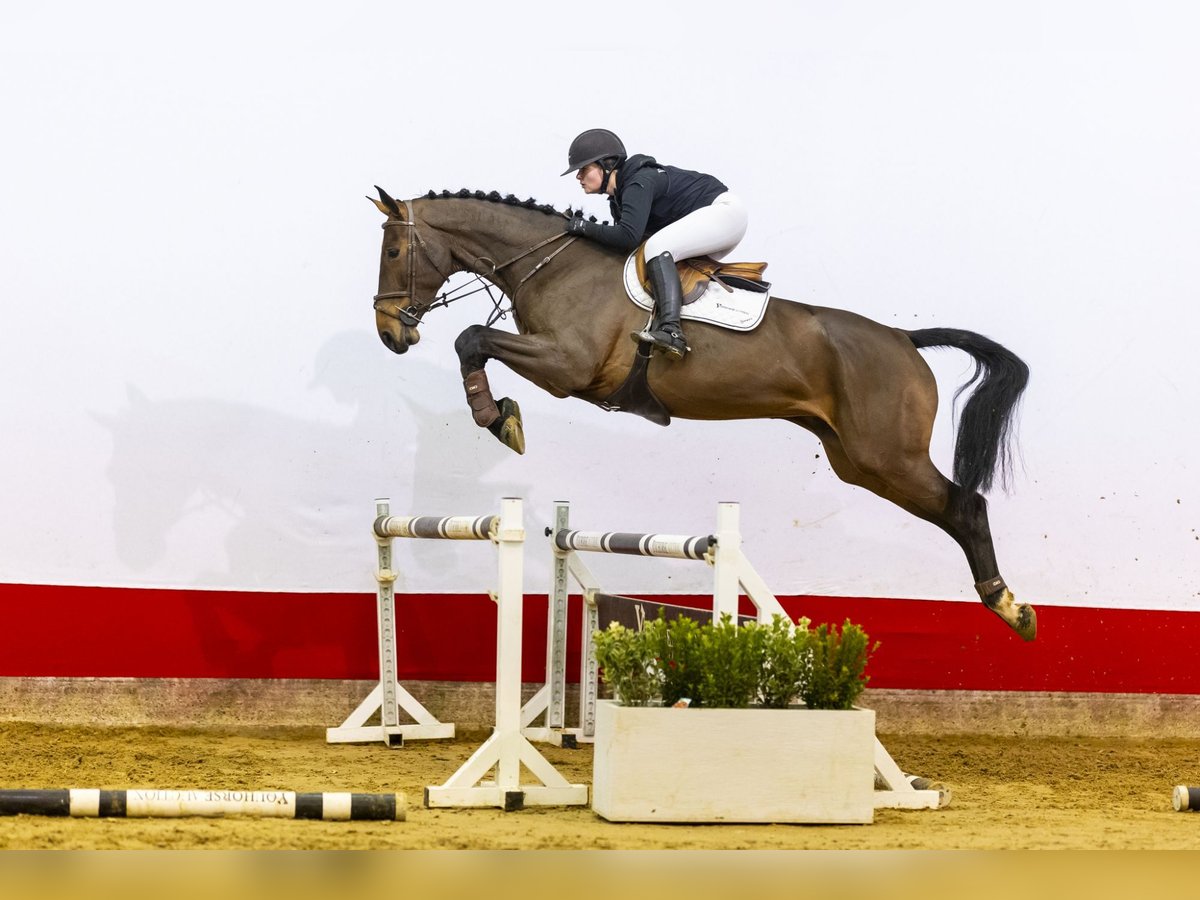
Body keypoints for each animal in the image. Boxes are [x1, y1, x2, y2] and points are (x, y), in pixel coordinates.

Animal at [369, 184, 1036, 643]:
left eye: (395, 249)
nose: (389, 333)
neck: (554, 265)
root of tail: (903, 339)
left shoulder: (566, 366)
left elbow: (472, 338)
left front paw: (499, 417)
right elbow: (474, 342)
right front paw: (501, 413)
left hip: (886, 454)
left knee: (966, 506)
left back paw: (1011, 607)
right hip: (858, 461)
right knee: (950, 508)